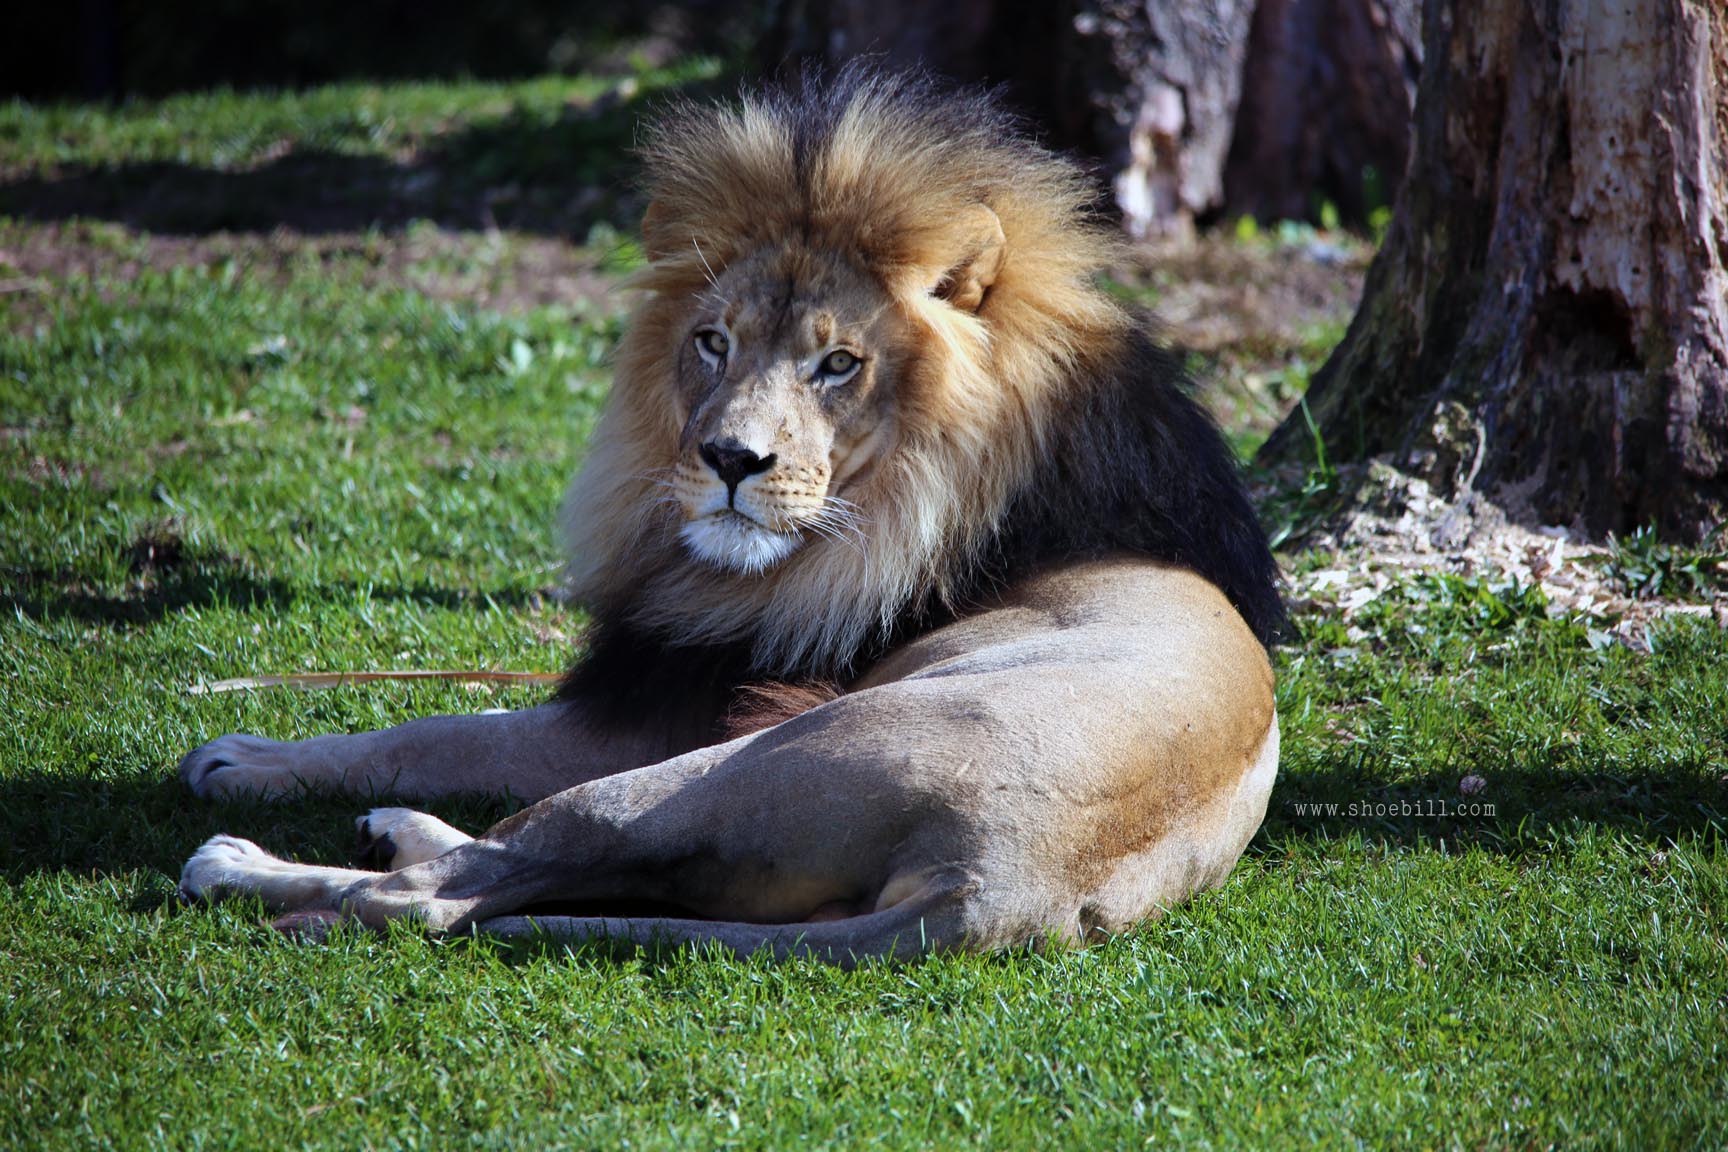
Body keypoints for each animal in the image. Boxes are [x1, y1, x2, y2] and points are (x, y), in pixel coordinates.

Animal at [178, 67, 1285, 960]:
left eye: (837, 363)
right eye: (713, 342)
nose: (730, 460)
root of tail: (1002, 888)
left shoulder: (665, 708)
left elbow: (450, 728)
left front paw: (246, 759)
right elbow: (466, 719)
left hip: (728, 767)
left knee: (446, 892)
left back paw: (253, 863)